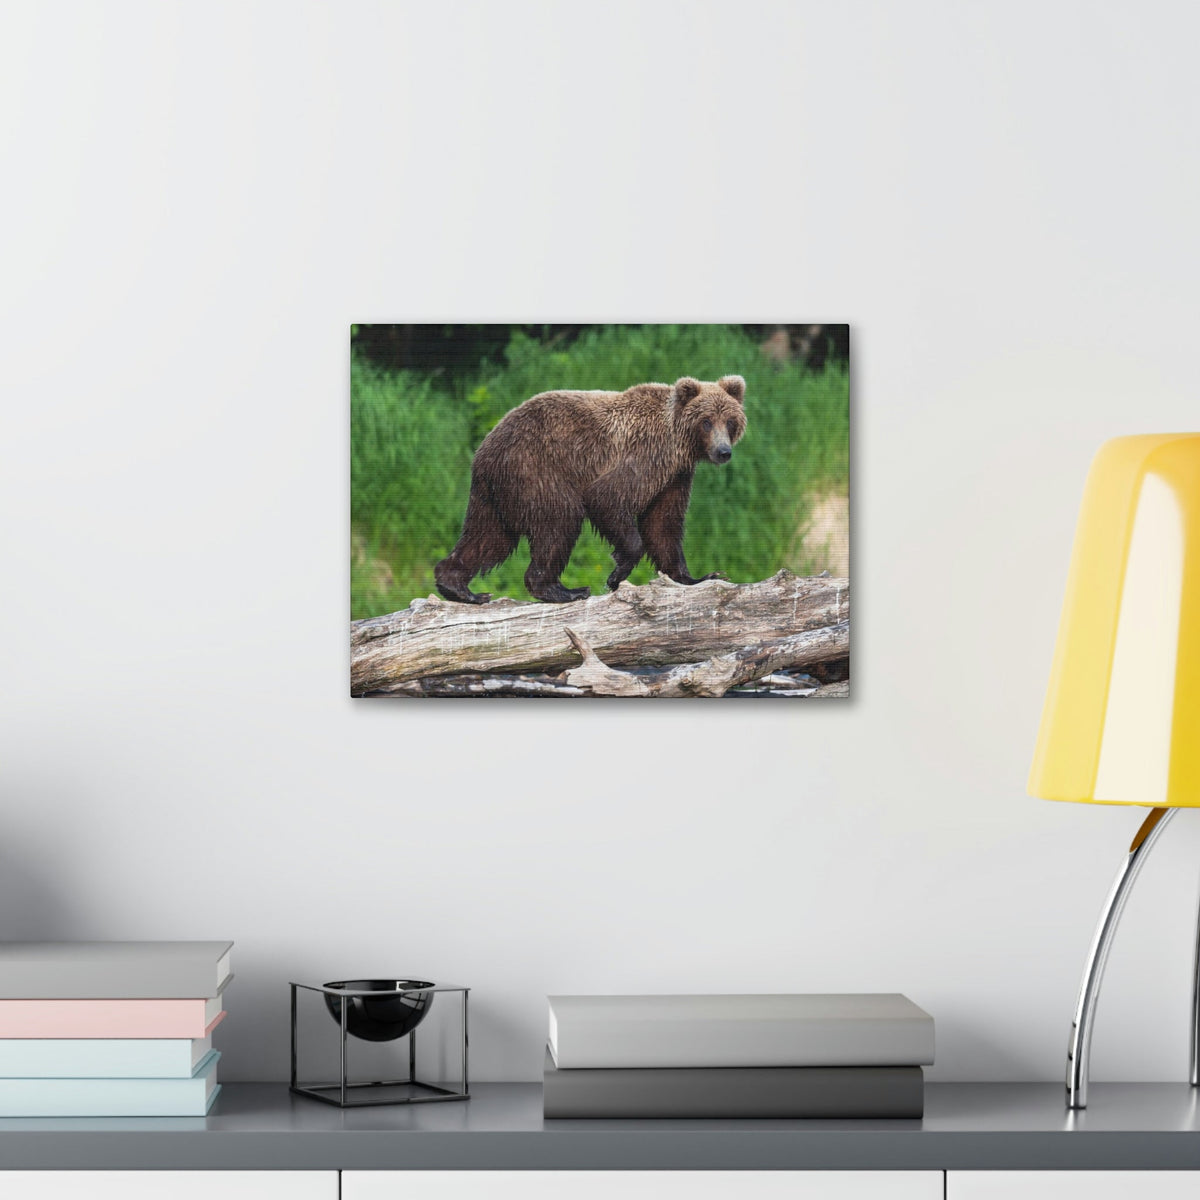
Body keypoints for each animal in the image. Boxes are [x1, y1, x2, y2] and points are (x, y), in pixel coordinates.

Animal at [434, 375, 747, 604]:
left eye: (730, 421)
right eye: (706, 421)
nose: (723, 451)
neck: (677, 445)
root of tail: (483, 450)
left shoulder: (675, 477)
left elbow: (663, 526)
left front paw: (701, 576)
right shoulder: (644, 457)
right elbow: (607, 497)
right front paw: (616, 574)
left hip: (496, 495)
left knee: (488, 538)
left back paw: (460, 587)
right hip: (536, 470)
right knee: (559, 522)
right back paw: (564, 590)